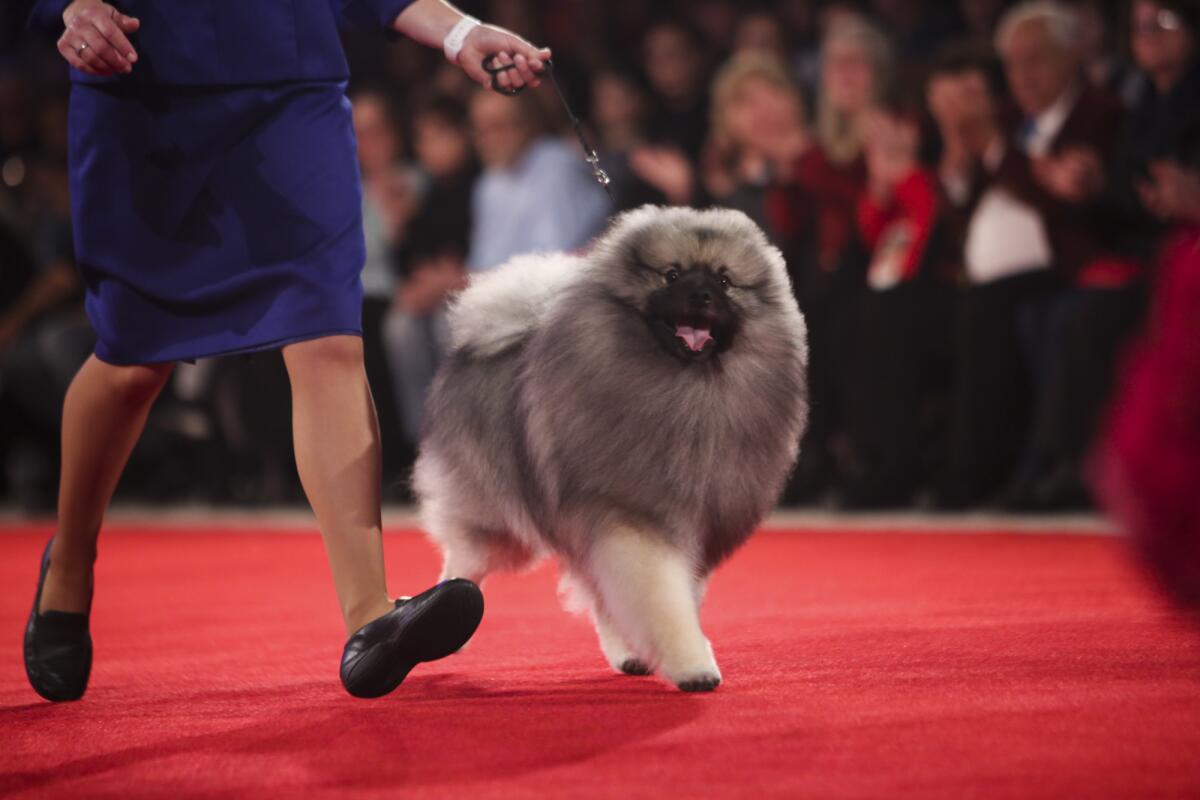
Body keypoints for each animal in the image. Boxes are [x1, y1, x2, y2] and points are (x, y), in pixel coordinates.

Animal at [412, 203, 806, 690]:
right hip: (496, 514)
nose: (701, 296)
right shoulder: (629, 517)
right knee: (465, 558)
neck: (687, 392)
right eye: (671, 275)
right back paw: (442, 615)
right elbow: (660, 599)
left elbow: (651, 596)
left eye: (725, 280)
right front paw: (692, 664)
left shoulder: (688, 524)